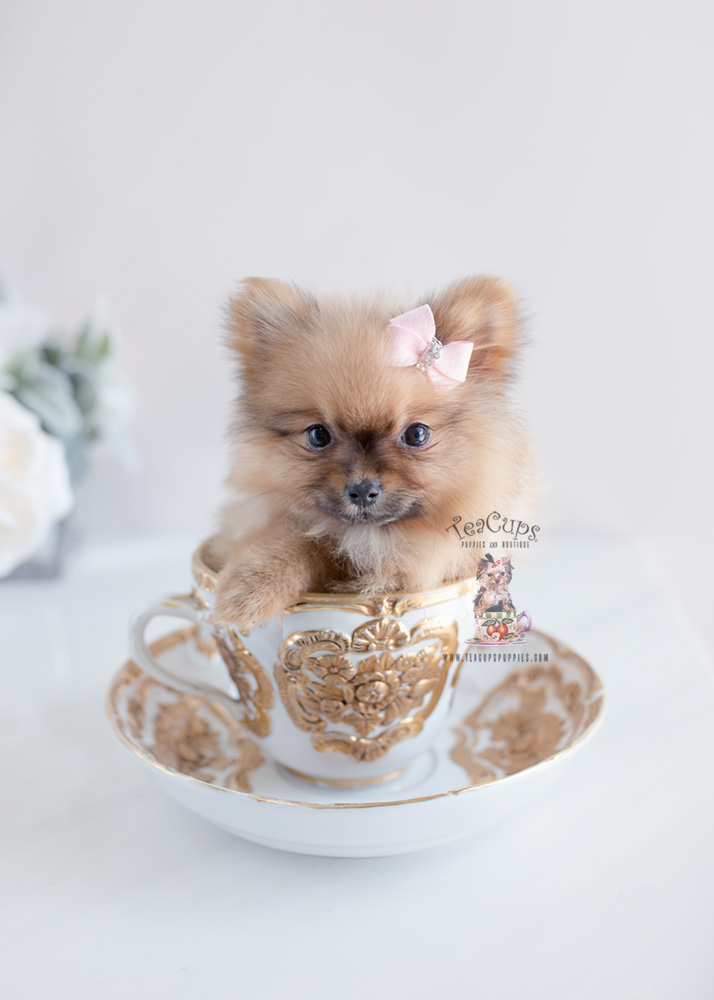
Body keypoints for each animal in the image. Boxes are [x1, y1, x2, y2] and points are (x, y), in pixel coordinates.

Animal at [210, 274, 536, 624]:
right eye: (318, 435)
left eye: (416, 434)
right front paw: (248, 589)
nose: (363, 491)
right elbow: (289, 539)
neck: (371, 541)